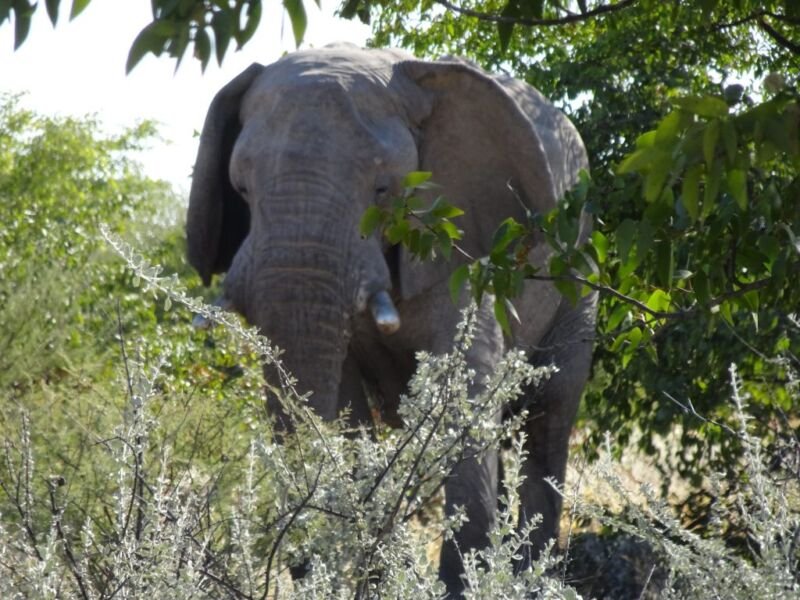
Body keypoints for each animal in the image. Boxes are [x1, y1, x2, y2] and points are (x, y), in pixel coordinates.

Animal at [187, 43, 596, 596]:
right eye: (242, 190)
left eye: (383, 190)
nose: (302, 560)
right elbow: (345, 406)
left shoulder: (467, 242)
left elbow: (462, 390)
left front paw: (461, 584)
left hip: (582, 268)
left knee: (551, 412)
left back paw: (534, 578)